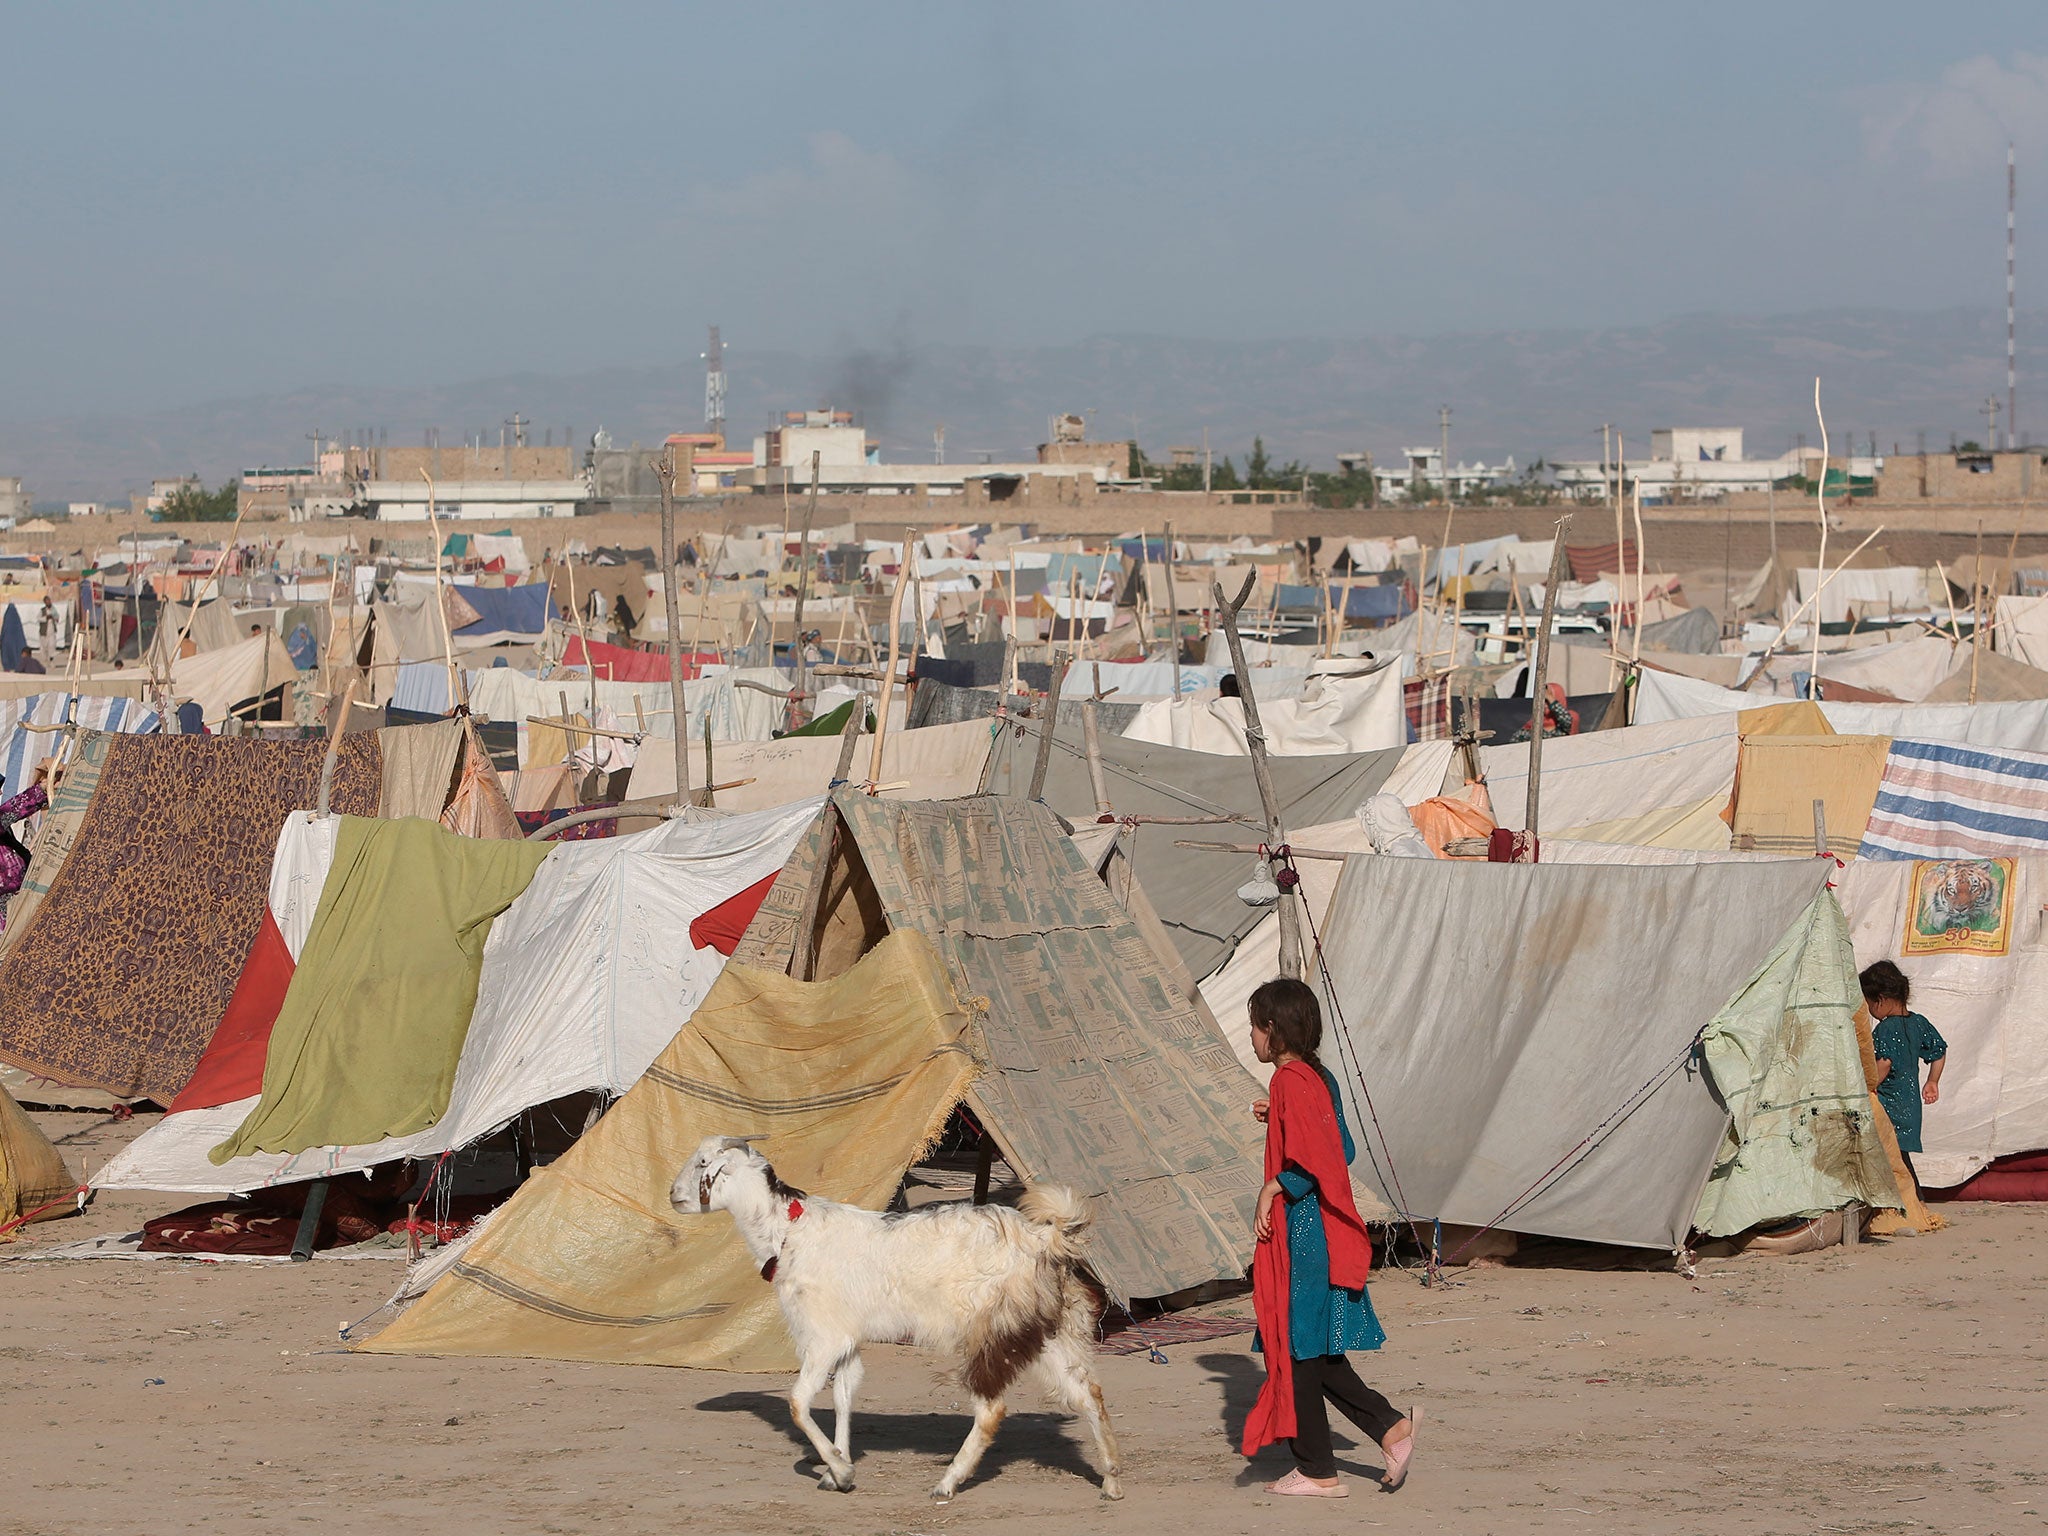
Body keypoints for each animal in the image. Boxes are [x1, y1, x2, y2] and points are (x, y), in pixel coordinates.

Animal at [667, 1138, 1122, 1507]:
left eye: (703, 1162)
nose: (672, 1195)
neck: (790, 1231)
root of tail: (1046, 1239)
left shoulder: (824, 1335)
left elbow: (798, 1403)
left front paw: (840, 1469)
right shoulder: (846, 1339)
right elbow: (844, 1397)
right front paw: (838, 1471)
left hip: (991, 1331)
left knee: (993, 1408)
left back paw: (948, 1482)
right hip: (1052, 1330)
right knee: (1090, 1394)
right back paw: (1111, 1480)